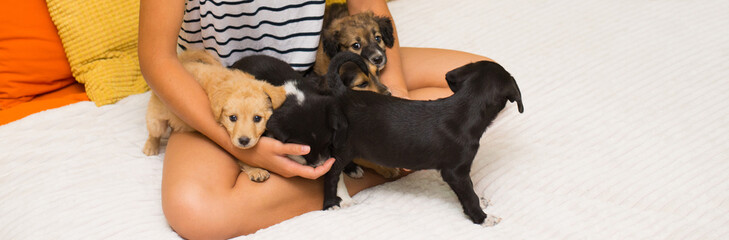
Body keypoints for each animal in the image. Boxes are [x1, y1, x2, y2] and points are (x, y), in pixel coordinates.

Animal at [144, 50, 286, 182]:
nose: (244, 141)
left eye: (257, 118)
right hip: (157, 120)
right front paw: (256, 170)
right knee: (154, 133)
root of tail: (183, 61)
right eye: (233, 118)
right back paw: (150, 147)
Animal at [324, 53, 524, 226]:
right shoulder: (455, 172)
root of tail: (344, 94)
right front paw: (482, 218)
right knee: (331, 174)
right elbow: (469, 195)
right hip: (344, 147)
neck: (466, 109)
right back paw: (333, 202)